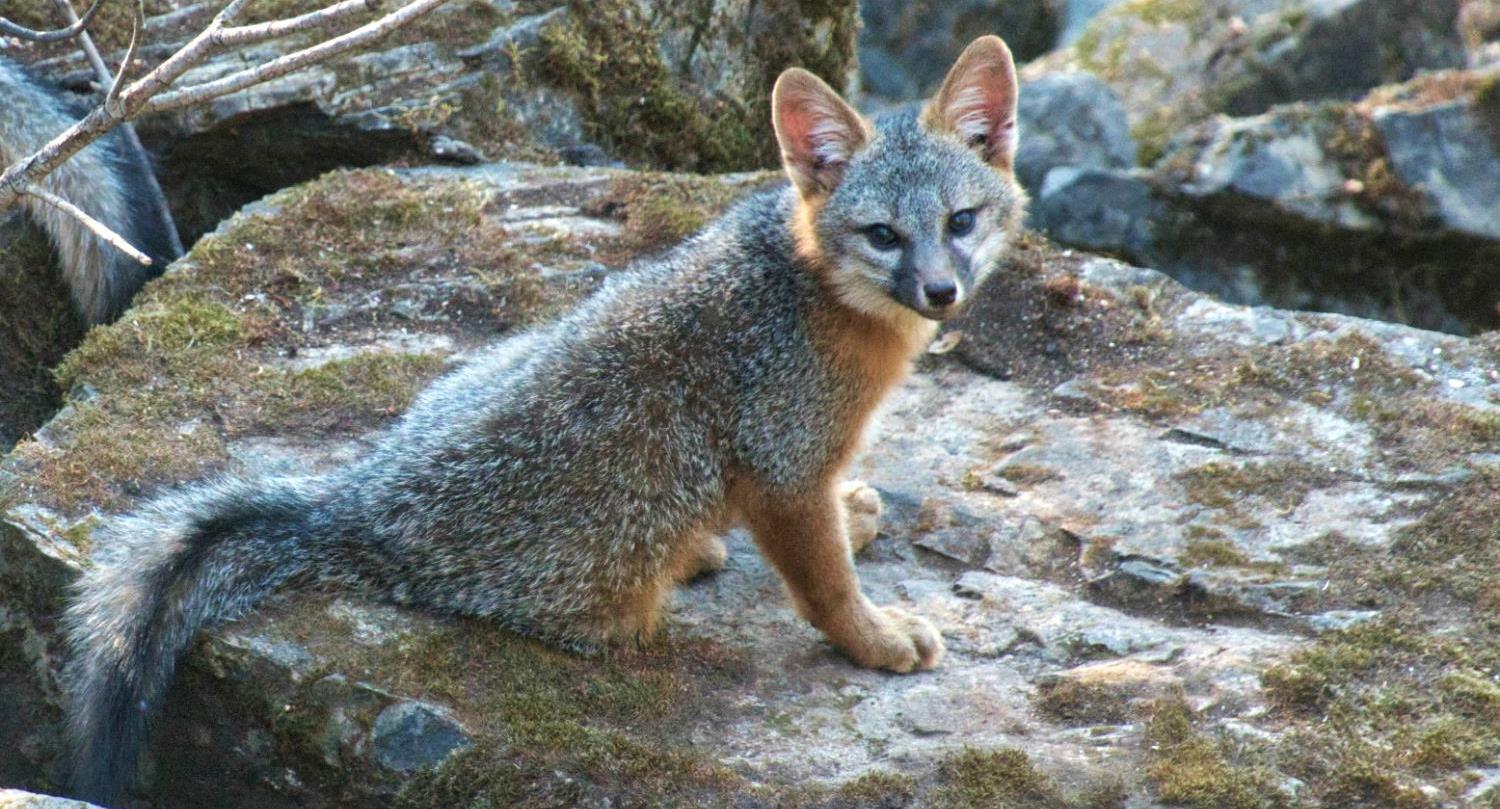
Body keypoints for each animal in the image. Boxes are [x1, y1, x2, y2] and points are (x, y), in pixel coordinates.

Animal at [62, 35, 1027, 806]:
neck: (806, 287)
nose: (942, 291)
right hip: (613, 570)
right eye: (882, 235)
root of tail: (362, 503)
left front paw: (856, 516)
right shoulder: (785, 468)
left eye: (960, 221)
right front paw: (875, 637)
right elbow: (824, 588)